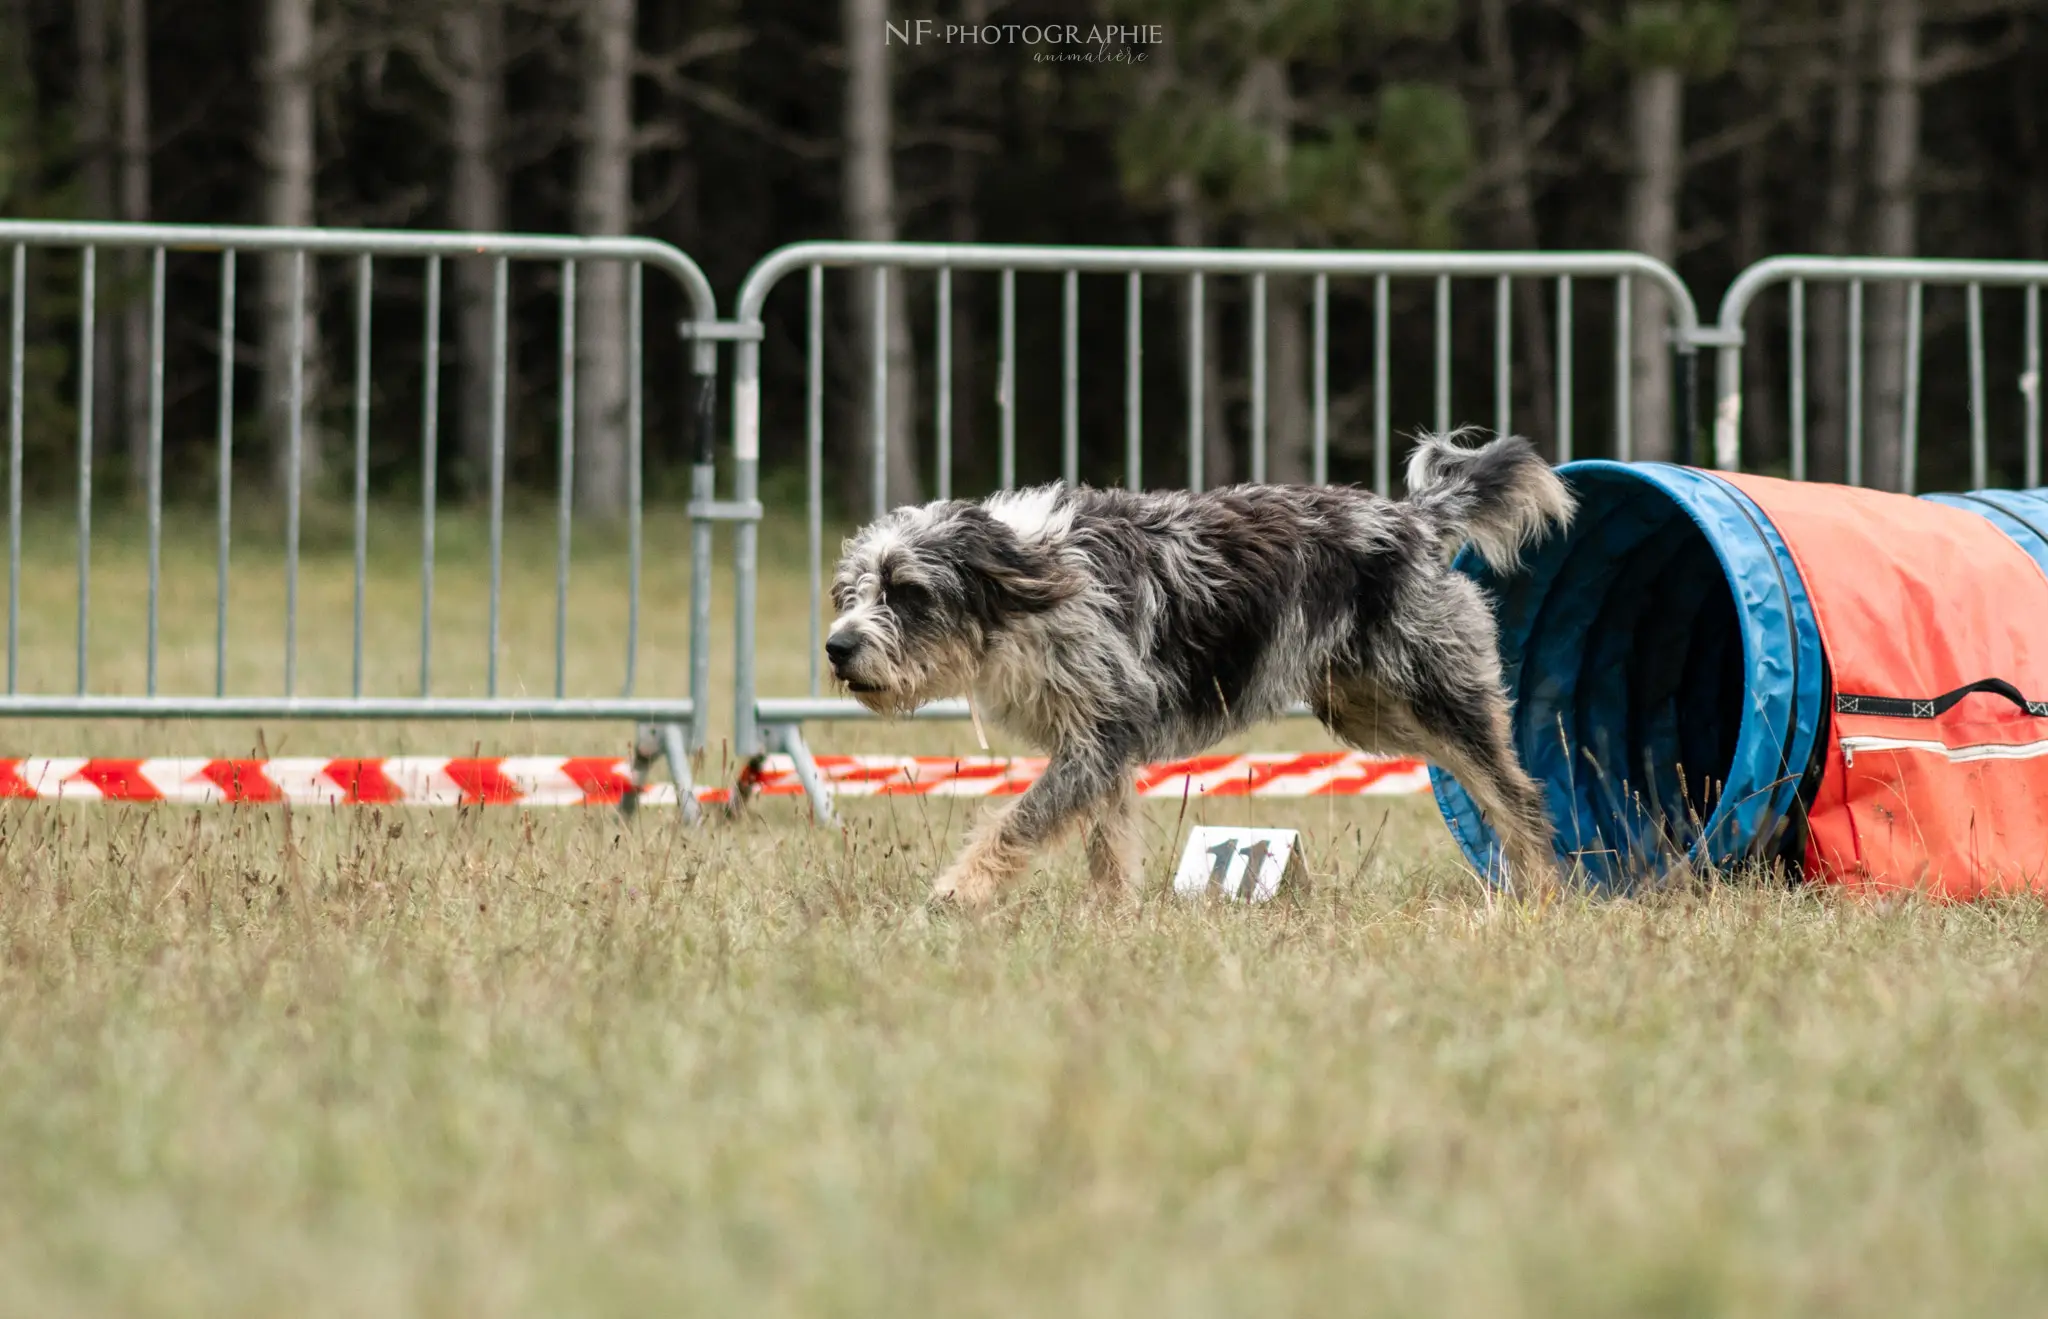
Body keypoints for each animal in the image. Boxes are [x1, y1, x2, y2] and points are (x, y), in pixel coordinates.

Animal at [823, 428, 1572, 901]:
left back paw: (1542, 890)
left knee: (1516, 790)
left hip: (1436, 693)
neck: (1026, 589)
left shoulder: (1099, 738)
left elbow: (1018, 820)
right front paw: (1110, 921)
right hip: (1370, 713)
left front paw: (956, 892)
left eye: (907, 591)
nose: (836, 646)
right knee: (1484, 783)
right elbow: (1108, 850)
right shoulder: (1098, 749)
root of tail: (1414, 518)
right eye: (850, 593)